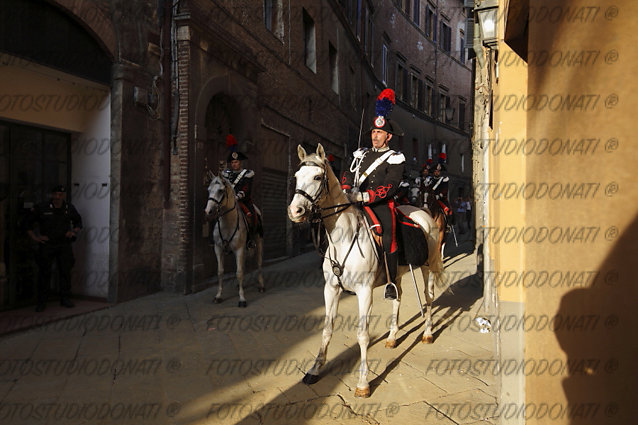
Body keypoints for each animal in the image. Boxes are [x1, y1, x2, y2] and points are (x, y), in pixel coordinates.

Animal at [205, 171, 264, 306]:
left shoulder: (239, 249)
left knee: (258, 263)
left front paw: (242, 299)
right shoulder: (218, 248)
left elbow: (239, 272)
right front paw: (218, 296)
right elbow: (220, 272)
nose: (208, 211)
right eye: (209, 190)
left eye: (220, 190)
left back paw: (261, 285)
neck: (228, 223)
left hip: (258, 242)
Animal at [288, 144, 444, 396]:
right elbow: (326, 329)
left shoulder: (364, 291)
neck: (343, 238)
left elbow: (362, 335)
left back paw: (428, 334)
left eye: (317, 177)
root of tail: (423, 213)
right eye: (296, 176)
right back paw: (392, 337)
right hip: (396, 274)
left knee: (429, 297)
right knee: (398, 297)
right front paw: (315, 370)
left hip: (428, 265)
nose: (295, 211)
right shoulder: (331, 289)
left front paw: (363, 382)